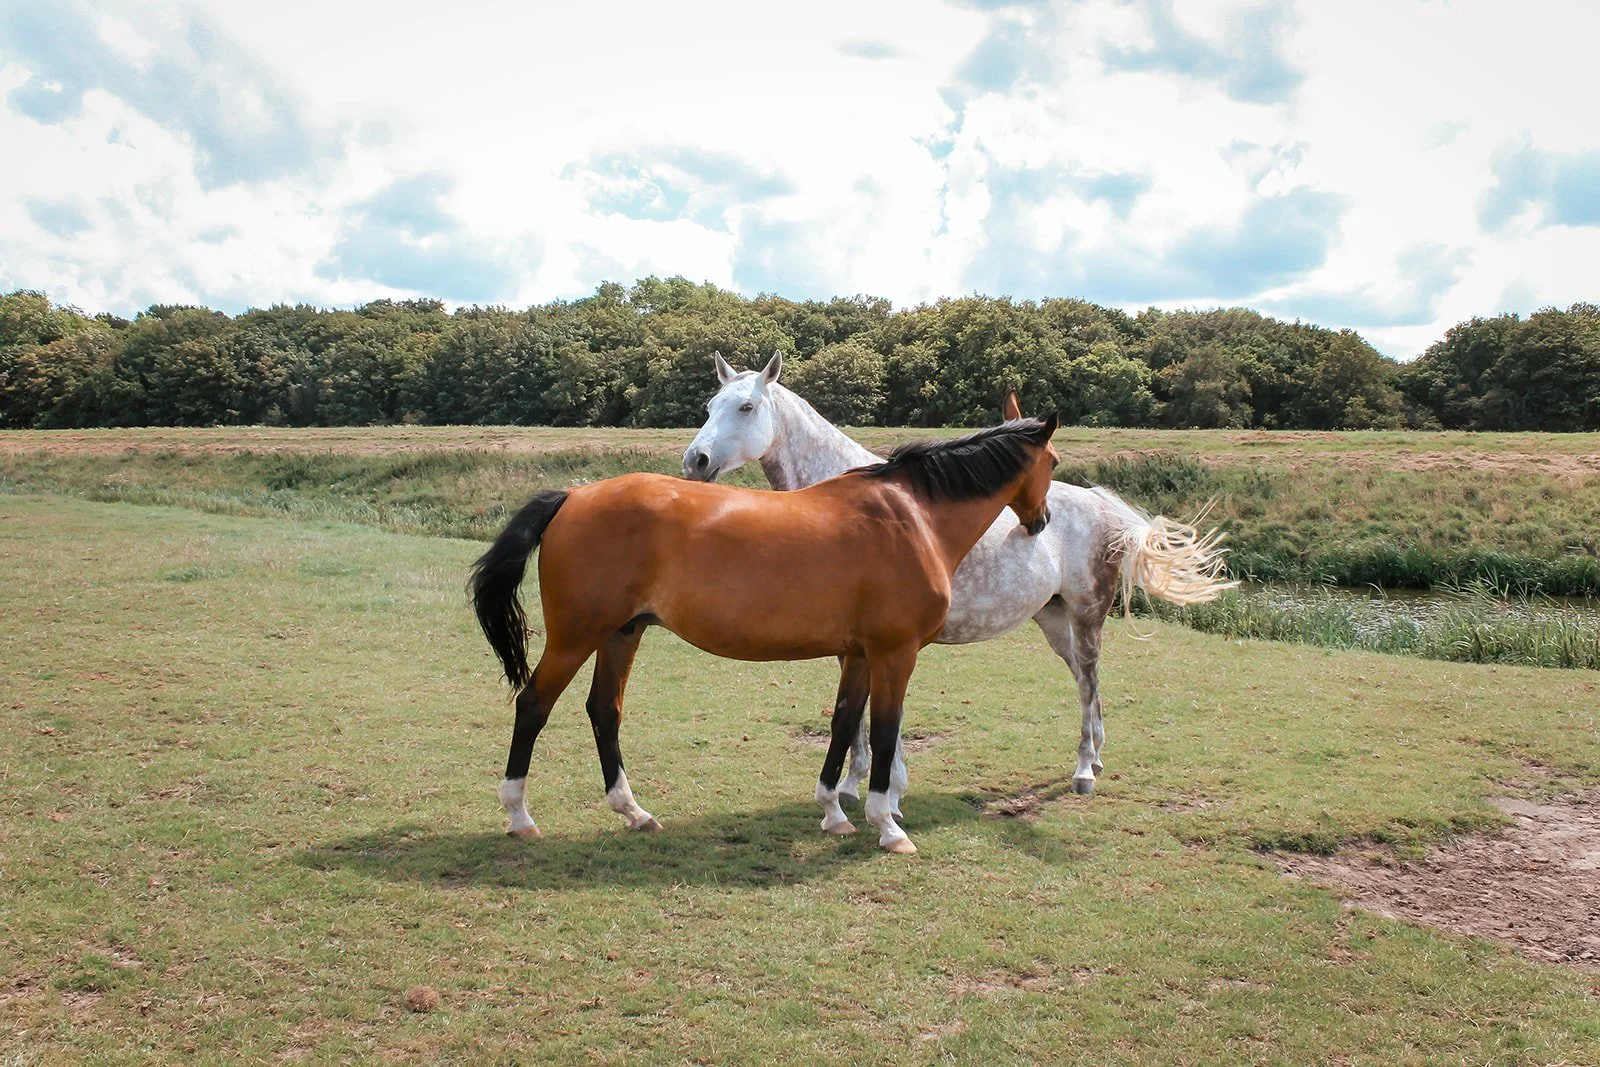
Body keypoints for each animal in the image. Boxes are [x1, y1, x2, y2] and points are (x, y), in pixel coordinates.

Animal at [471, 413, 1063, 854]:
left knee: (604, 710)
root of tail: (572, 497)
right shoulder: (894, 653)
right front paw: (887, 825)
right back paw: (519, 816)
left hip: (621, 633)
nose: (1042, 520)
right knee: (534, 705)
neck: (913, 515)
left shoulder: (858, 655)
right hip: (576, 637)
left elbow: (844, 724)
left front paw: (833, 812)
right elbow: (884, 731)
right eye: (1054, 462)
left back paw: (634, 812)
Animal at [682, 351, 1234, 803]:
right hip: (1054, 621)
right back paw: (1096, 754)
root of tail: (1102, 504)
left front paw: (883, 787)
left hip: (1087, 614)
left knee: (1090, 679)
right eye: (710, 405)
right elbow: (857, 717)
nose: (695, 460)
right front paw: (855, 783)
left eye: (746, 408)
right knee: (1083, 678)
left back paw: (1083, 769)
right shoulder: (856, 640)